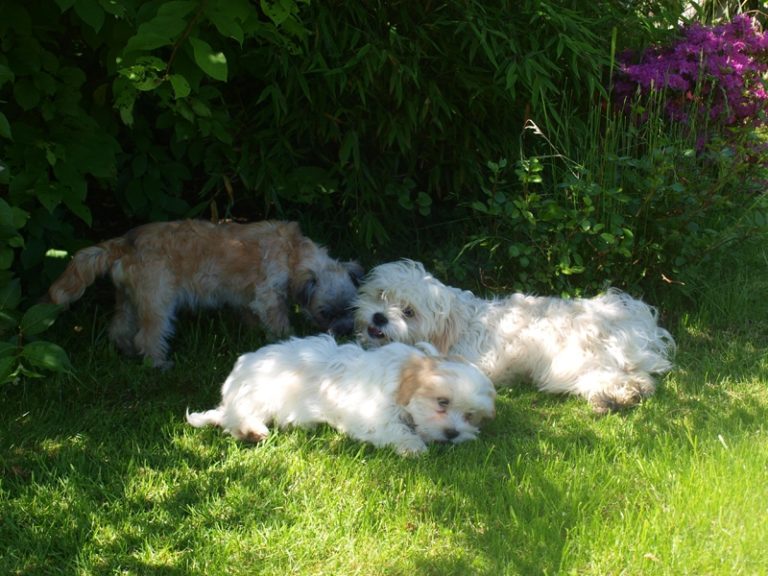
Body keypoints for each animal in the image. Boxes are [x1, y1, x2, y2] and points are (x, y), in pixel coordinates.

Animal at [48, 220, 364, 368]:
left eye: (350, 308)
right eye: (325, 313)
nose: (344, 330)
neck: (292, 252)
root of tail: (125, 244)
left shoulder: (249, 299)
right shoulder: (268, 297)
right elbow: (279, 323)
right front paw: (287, 341)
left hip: (129, 300)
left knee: (119, 328)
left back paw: (126, 351)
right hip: (158, 302)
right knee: (147, 336)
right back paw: (159, 363)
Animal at [187, 336, 498, 456]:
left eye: (470, 415)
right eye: (442, 402)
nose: (452, 434)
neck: (401, 378)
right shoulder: (370, 412)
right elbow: (391, 428)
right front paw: (413, 445)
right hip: (257, 395)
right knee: (234, 420)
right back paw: (252, 431)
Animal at [356, 260, 676, 414]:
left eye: (408, 312)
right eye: (381, 295)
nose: (379, 317)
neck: (457, 324)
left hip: (570, 360)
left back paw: (615, 396)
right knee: (638, 378)